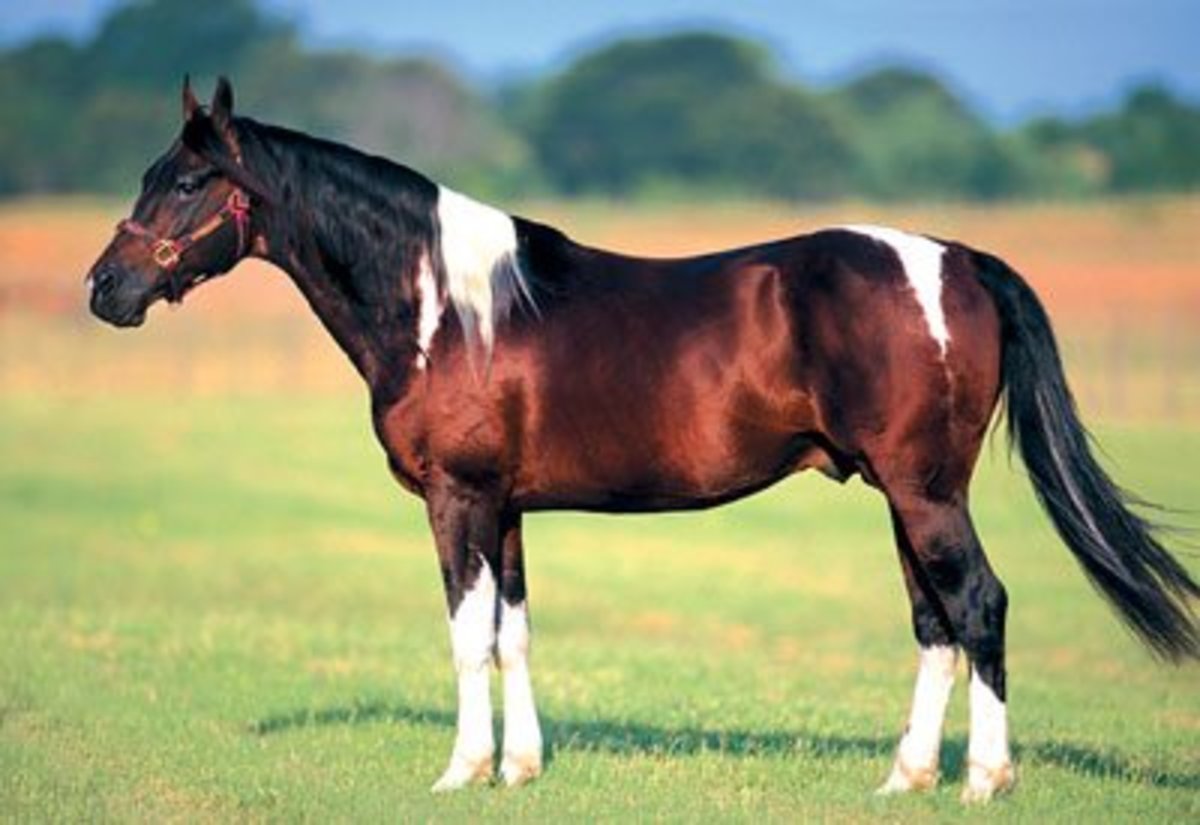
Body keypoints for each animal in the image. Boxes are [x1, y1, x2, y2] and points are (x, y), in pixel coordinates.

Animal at [85, 77, 1198, 802]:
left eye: (183, 185)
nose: (104, 289)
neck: (448, 305)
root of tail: (956, 259)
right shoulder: (509, 507)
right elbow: (515, 633)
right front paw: (520, 767)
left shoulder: (460, 498)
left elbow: (466, 634)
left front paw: (460, 770)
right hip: (905, 492)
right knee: (935, 622)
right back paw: (904, 778)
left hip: (925, 491)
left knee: (979, 606)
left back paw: (984, 781)